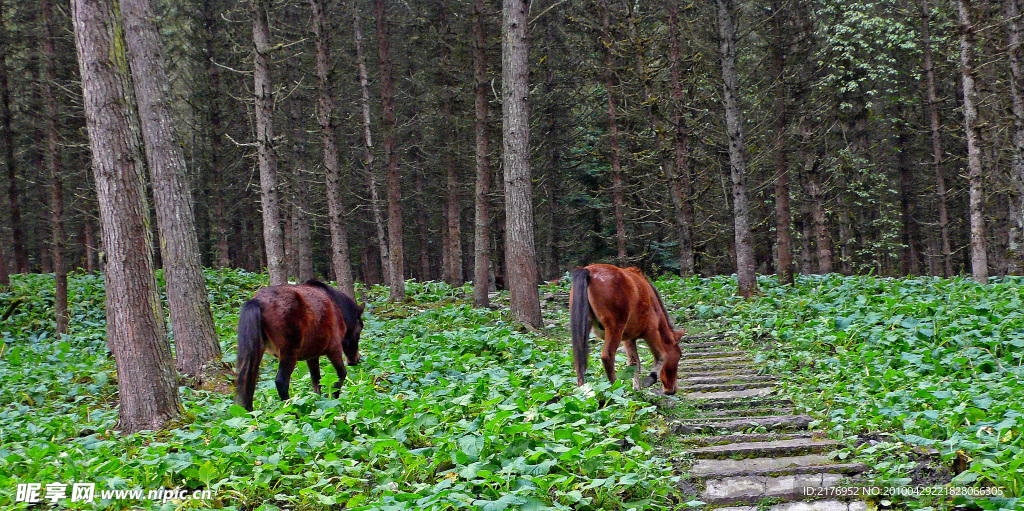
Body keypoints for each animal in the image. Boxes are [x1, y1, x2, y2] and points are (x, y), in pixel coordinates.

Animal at [233, 280, 364, 411]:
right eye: (360, 328)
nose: (355, 360)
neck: (337, 308)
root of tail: (257, 301)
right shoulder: (334, 348)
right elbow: (341, 374)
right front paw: (331, 397)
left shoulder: (312, 356)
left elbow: (316, 382)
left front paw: (318, 403)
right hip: (289, 352)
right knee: (281, 381)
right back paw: (291, 412)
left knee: (249, 381)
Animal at [573, 264, 684, 395]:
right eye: (679, 355)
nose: (672, 390)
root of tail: (589, 271)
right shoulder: (652, 331)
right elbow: (662, 356)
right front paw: (650, 378)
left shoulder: (628, 339)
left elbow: (634, 363)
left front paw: (636, 389)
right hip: (615, 328)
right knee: (607, 356)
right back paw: (613, 388)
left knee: (579, 361)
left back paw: (582, 391)